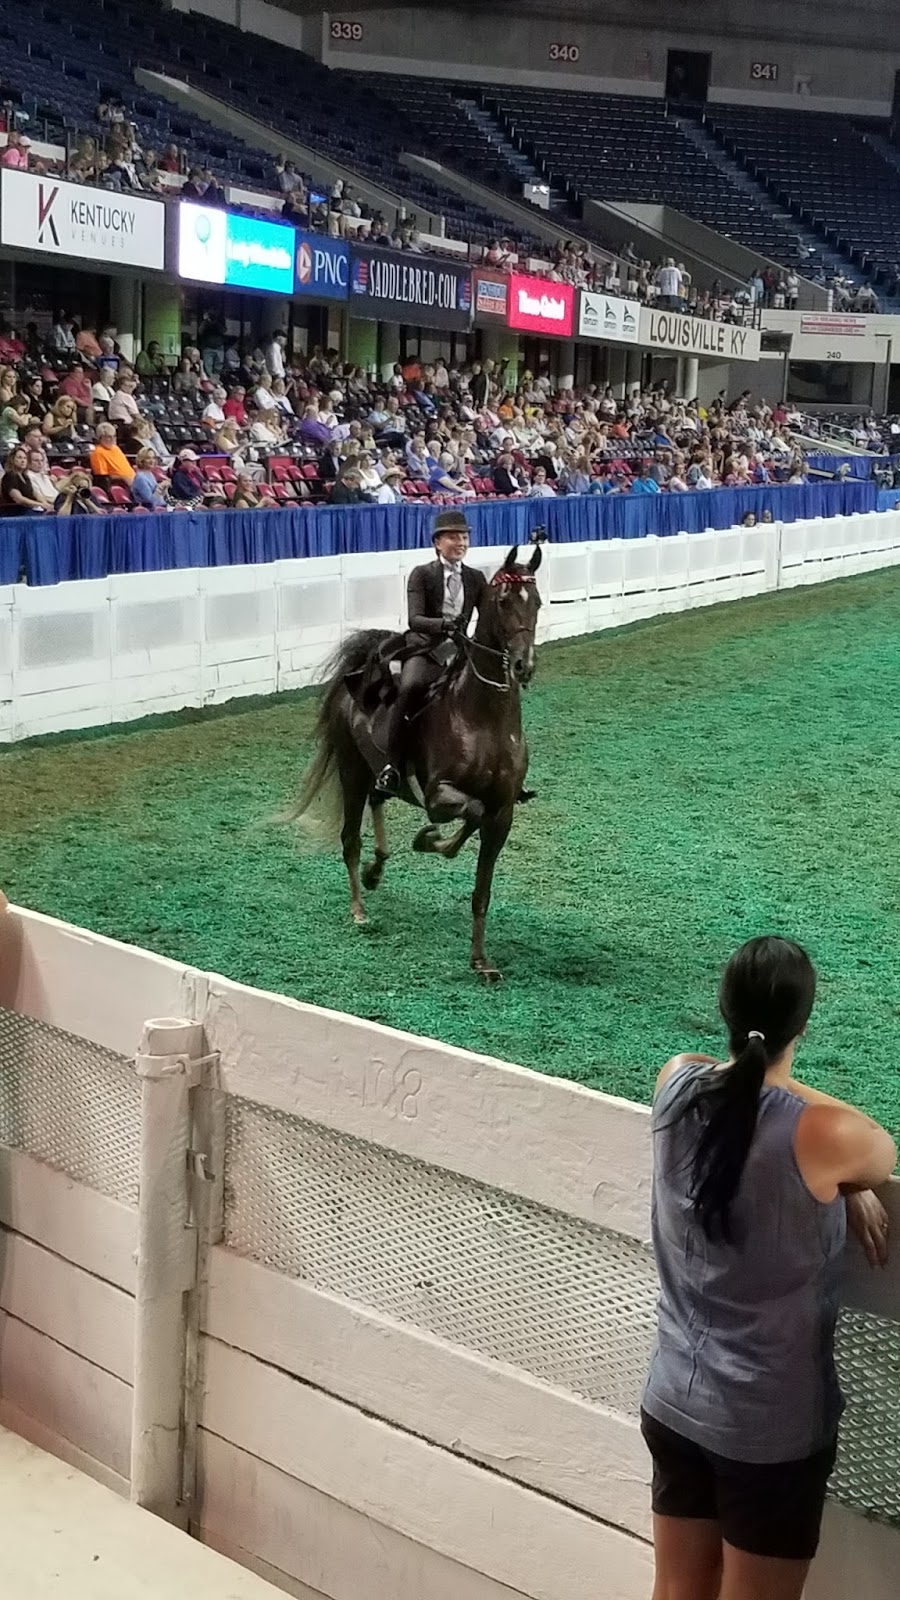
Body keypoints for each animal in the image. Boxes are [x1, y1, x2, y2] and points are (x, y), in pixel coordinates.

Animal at [284, 540, 543, 981]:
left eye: (538, 601)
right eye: (504, 601)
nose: (523, 666)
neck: (482, 716)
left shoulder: (504, 811)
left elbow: (482, 889)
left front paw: (481, 962)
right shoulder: (438, 796)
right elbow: (468, 814)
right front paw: (429, 840)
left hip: (377, 773)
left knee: (379, 800)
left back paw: (376, 871)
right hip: (352, 771)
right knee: (350, 839)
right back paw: (359, 908)